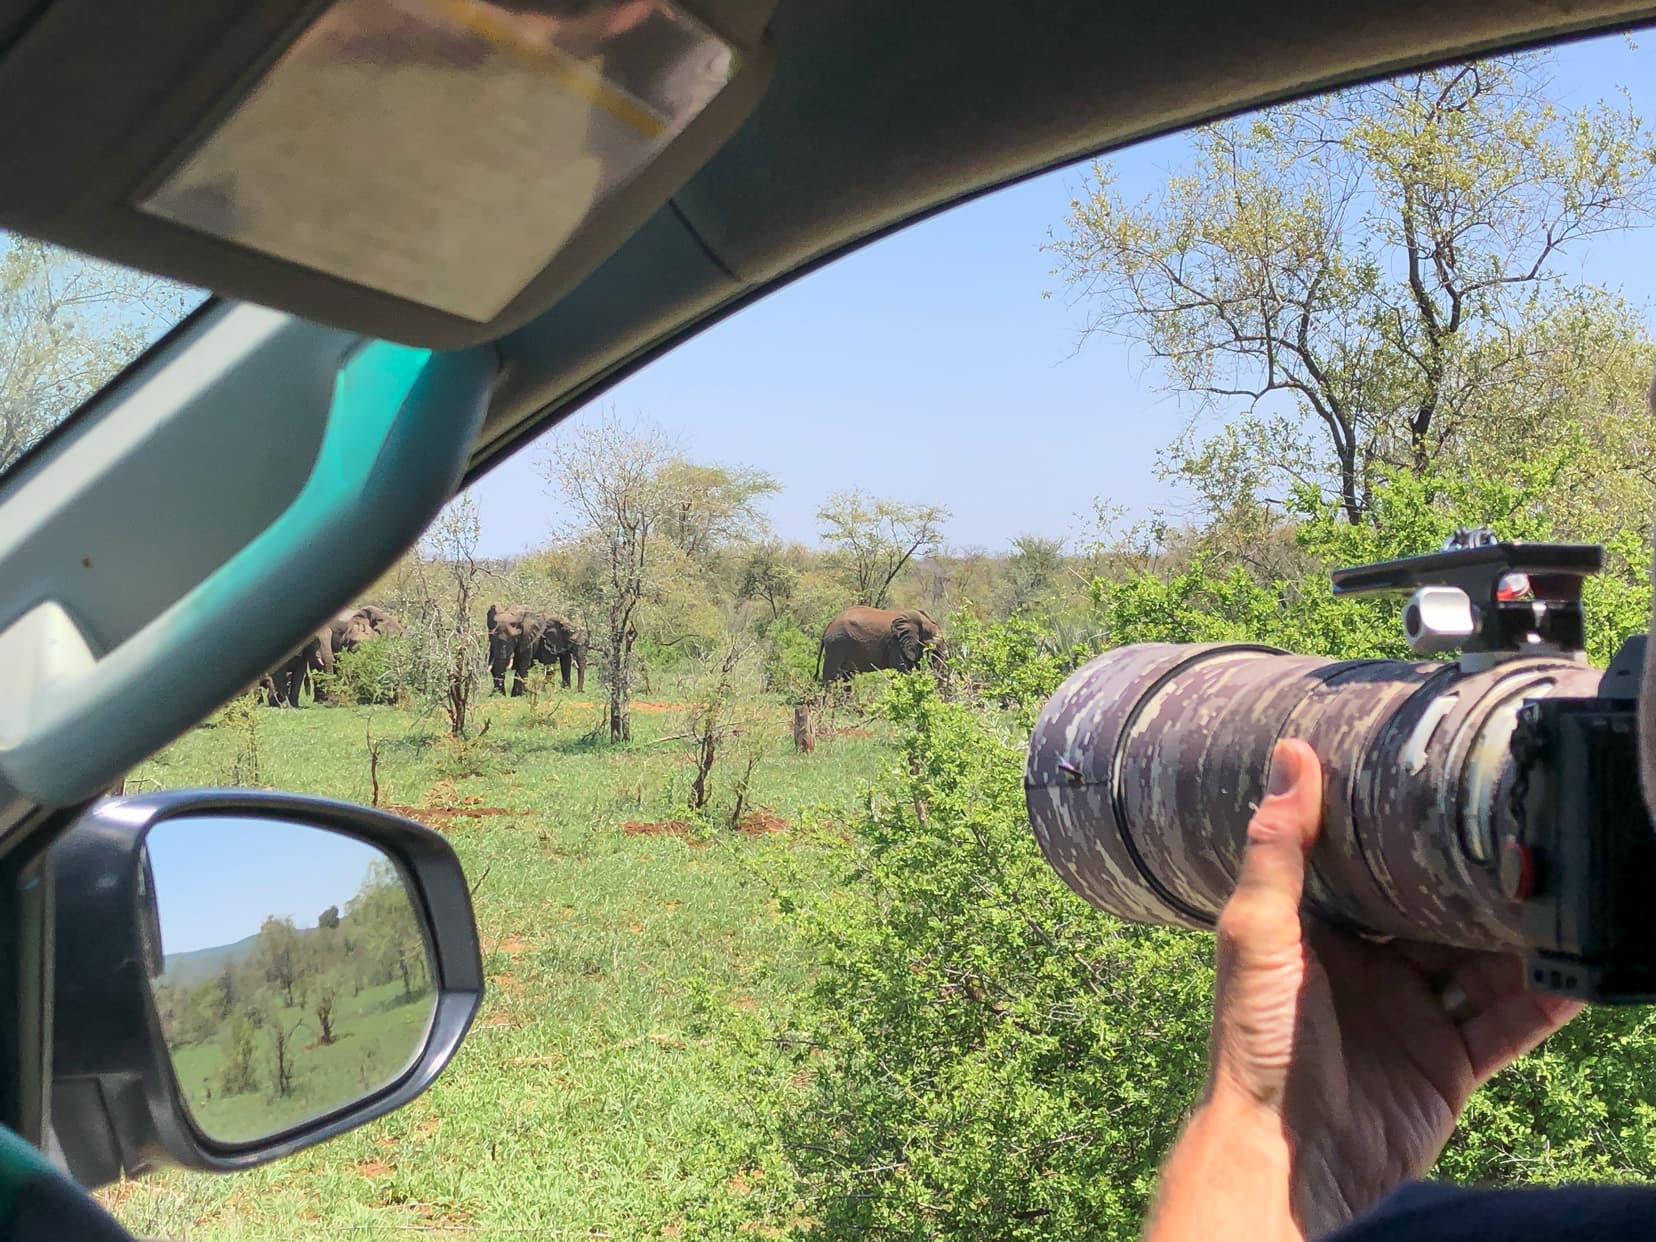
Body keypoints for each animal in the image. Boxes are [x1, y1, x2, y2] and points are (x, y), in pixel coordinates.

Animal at [818, 602, 947, 682]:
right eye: (932, 639)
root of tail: (829, 625)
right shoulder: (896, 642)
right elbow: (902, 668)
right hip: (836, 645)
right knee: (831, 676)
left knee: (847, 677)